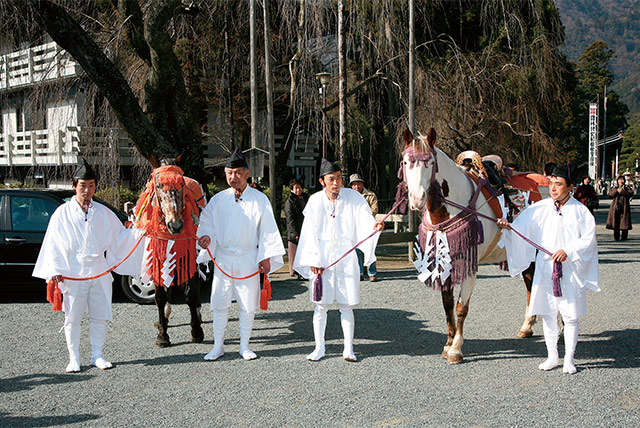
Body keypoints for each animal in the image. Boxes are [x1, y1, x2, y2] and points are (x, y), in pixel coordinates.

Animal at [134, 162, 206, 346]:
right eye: (159, 185)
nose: (176, 225)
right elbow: (160, 297)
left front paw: (196, 330)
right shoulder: (157, 260)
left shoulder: (190, 259)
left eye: (181, 184)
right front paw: (162, 334)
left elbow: (191, 295)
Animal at [402, 128, 544, 364]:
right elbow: (447, 303)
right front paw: (448, 343)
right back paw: (527, 326)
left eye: (430, 162)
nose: (417, 199)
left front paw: (456, 349)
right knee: (531, 284)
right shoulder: (444, 263)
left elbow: (461, 307)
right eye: (405, 162)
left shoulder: (469, 263)